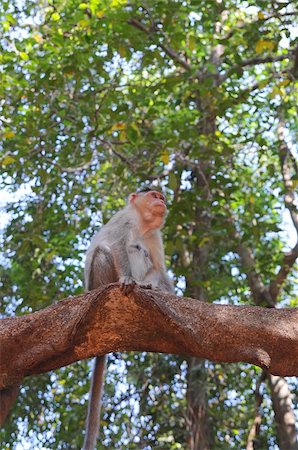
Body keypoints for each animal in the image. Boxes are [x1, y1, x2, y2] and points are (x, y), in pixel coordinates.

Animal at [82, 188, 175, 448]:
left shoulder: (155, 235)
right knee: (106, 251)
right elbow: (117, 246)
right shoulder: (125, 220)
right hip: (97, 282)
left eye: (161, 196)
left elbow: (159, 268)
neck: (143, 225)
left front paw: (170, 294)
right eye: (153, 194)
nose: (161, 201)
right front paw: (126, 279)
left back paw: (149, 287)